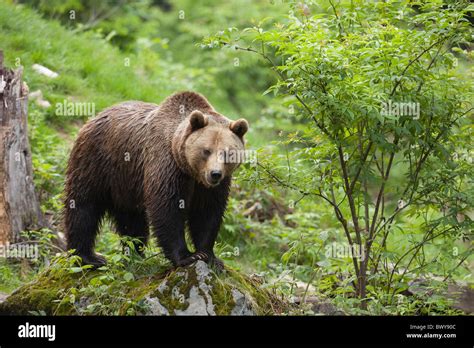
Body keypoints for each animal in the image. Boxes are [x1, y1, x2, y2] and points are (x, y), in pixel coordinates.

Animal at [64, 91, 248, 268]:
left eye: (227, 153)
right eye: (206, 150)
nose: (214, 173)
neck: (190, 171)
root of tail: (96, 115)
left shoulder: (211, 187)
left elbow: (207, 213)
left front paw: (210, 256)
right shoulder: (166, 165)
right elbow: (167, 208)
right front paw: (187, 256)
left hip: (127, 184)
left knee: (132, 220)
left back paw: (134, 255)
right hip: (97, 162)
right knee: (84, 206)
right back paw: (88, 257)